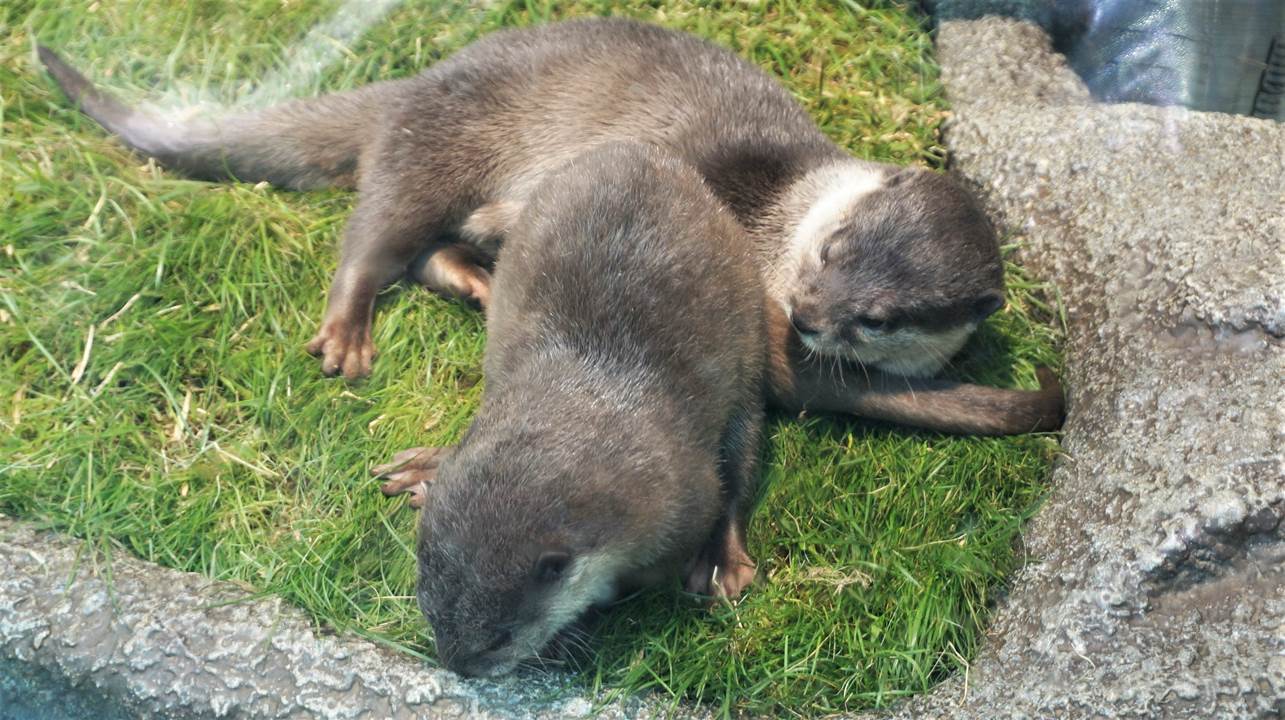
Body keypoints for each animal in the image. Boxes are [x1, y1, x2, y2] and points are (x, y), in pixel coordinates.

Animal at [35, 18, 1002, 383]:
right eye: (833, 247)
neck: (770, 218)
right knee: (370, 240)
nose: (806, 312)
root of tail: (414, 83)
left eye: (878, 319)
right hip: (436, 149)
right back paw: (347, 333)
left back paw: (478, 280)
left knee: (425, 250)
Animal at [372, 142, 765, 678]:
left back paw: (723, 565)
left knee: (742, 455)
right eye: (428, 611)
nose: (459, 667)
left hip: (749, 341)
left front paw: (573, 632)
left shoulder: (684, 507)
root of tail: (633, 150)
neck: (592, 389)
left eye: (500, 638)